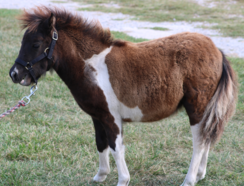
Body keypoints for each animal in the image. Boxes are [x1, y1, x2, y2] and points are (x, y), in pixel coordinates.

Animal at [8, 6, 237, 186]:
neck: (93, 68)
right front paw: (100, 176)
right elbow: (101, 143)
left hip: (197, 108)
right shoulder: (97, 116)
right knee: (207, 139)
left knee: (199, 142)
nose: (14, 74)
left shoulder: (112, 117)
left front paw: (122, 180)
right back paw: (199, 175)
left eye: (36, 43)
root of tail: (217, 51)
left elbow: (116, 147)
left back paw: (189, 180)